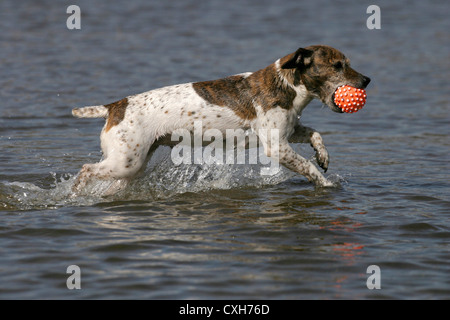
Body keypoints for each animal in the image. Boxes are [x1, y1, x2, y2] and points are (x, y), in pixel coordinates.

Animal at [72, 44, 370, 195]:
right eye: (337, 66)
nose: (367, 80)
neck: (285, 84)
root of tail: (113, 106)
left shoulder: (291, 130)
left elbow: (316, 134)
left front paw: (323, 156)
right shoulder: (277, 146)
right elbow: (308, 167)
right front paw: (326, 183)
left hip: (132, 165)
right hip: (125, 162)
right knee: (86, 170)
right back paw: (76, 192)